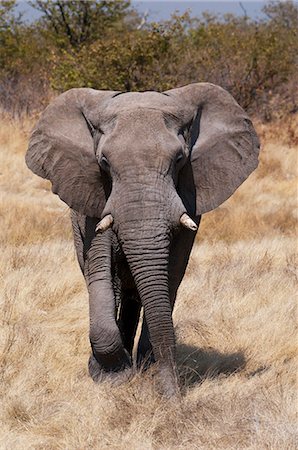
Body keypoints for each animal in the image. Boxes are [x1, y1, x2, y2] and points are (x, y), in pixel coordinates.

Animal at [25, 82, 258, 396]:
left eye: (180, 159)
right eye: (103, 162)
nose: (174, 399)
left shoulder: (190, 196)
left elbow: (171, 273)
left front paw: (147, 372)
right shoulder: (92, 194)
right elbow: (100, 270)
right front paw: (113, 377)